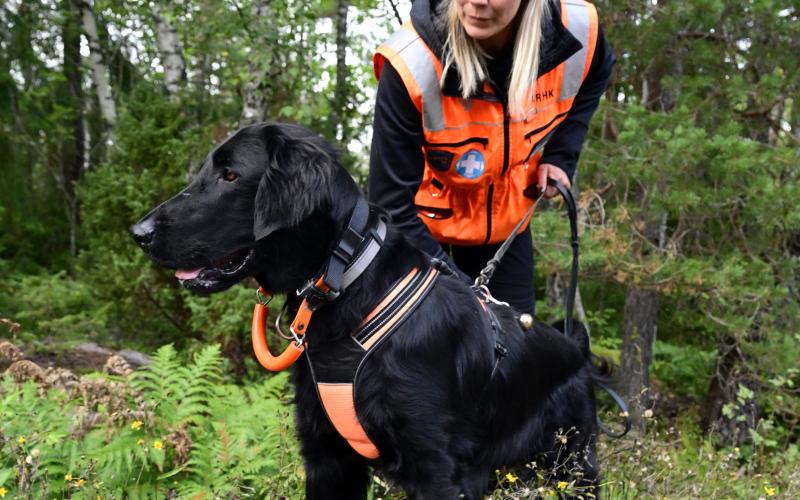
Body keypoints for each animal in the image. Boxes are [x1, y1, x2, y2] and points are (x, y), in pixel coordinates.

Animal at [131, 123, 604, 498]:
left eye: (230, 175)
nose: (138, 233)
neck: (348, 287)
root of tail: (576, 347)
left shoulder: (440, 470)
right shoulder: (327, 457)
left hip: (574, 465)